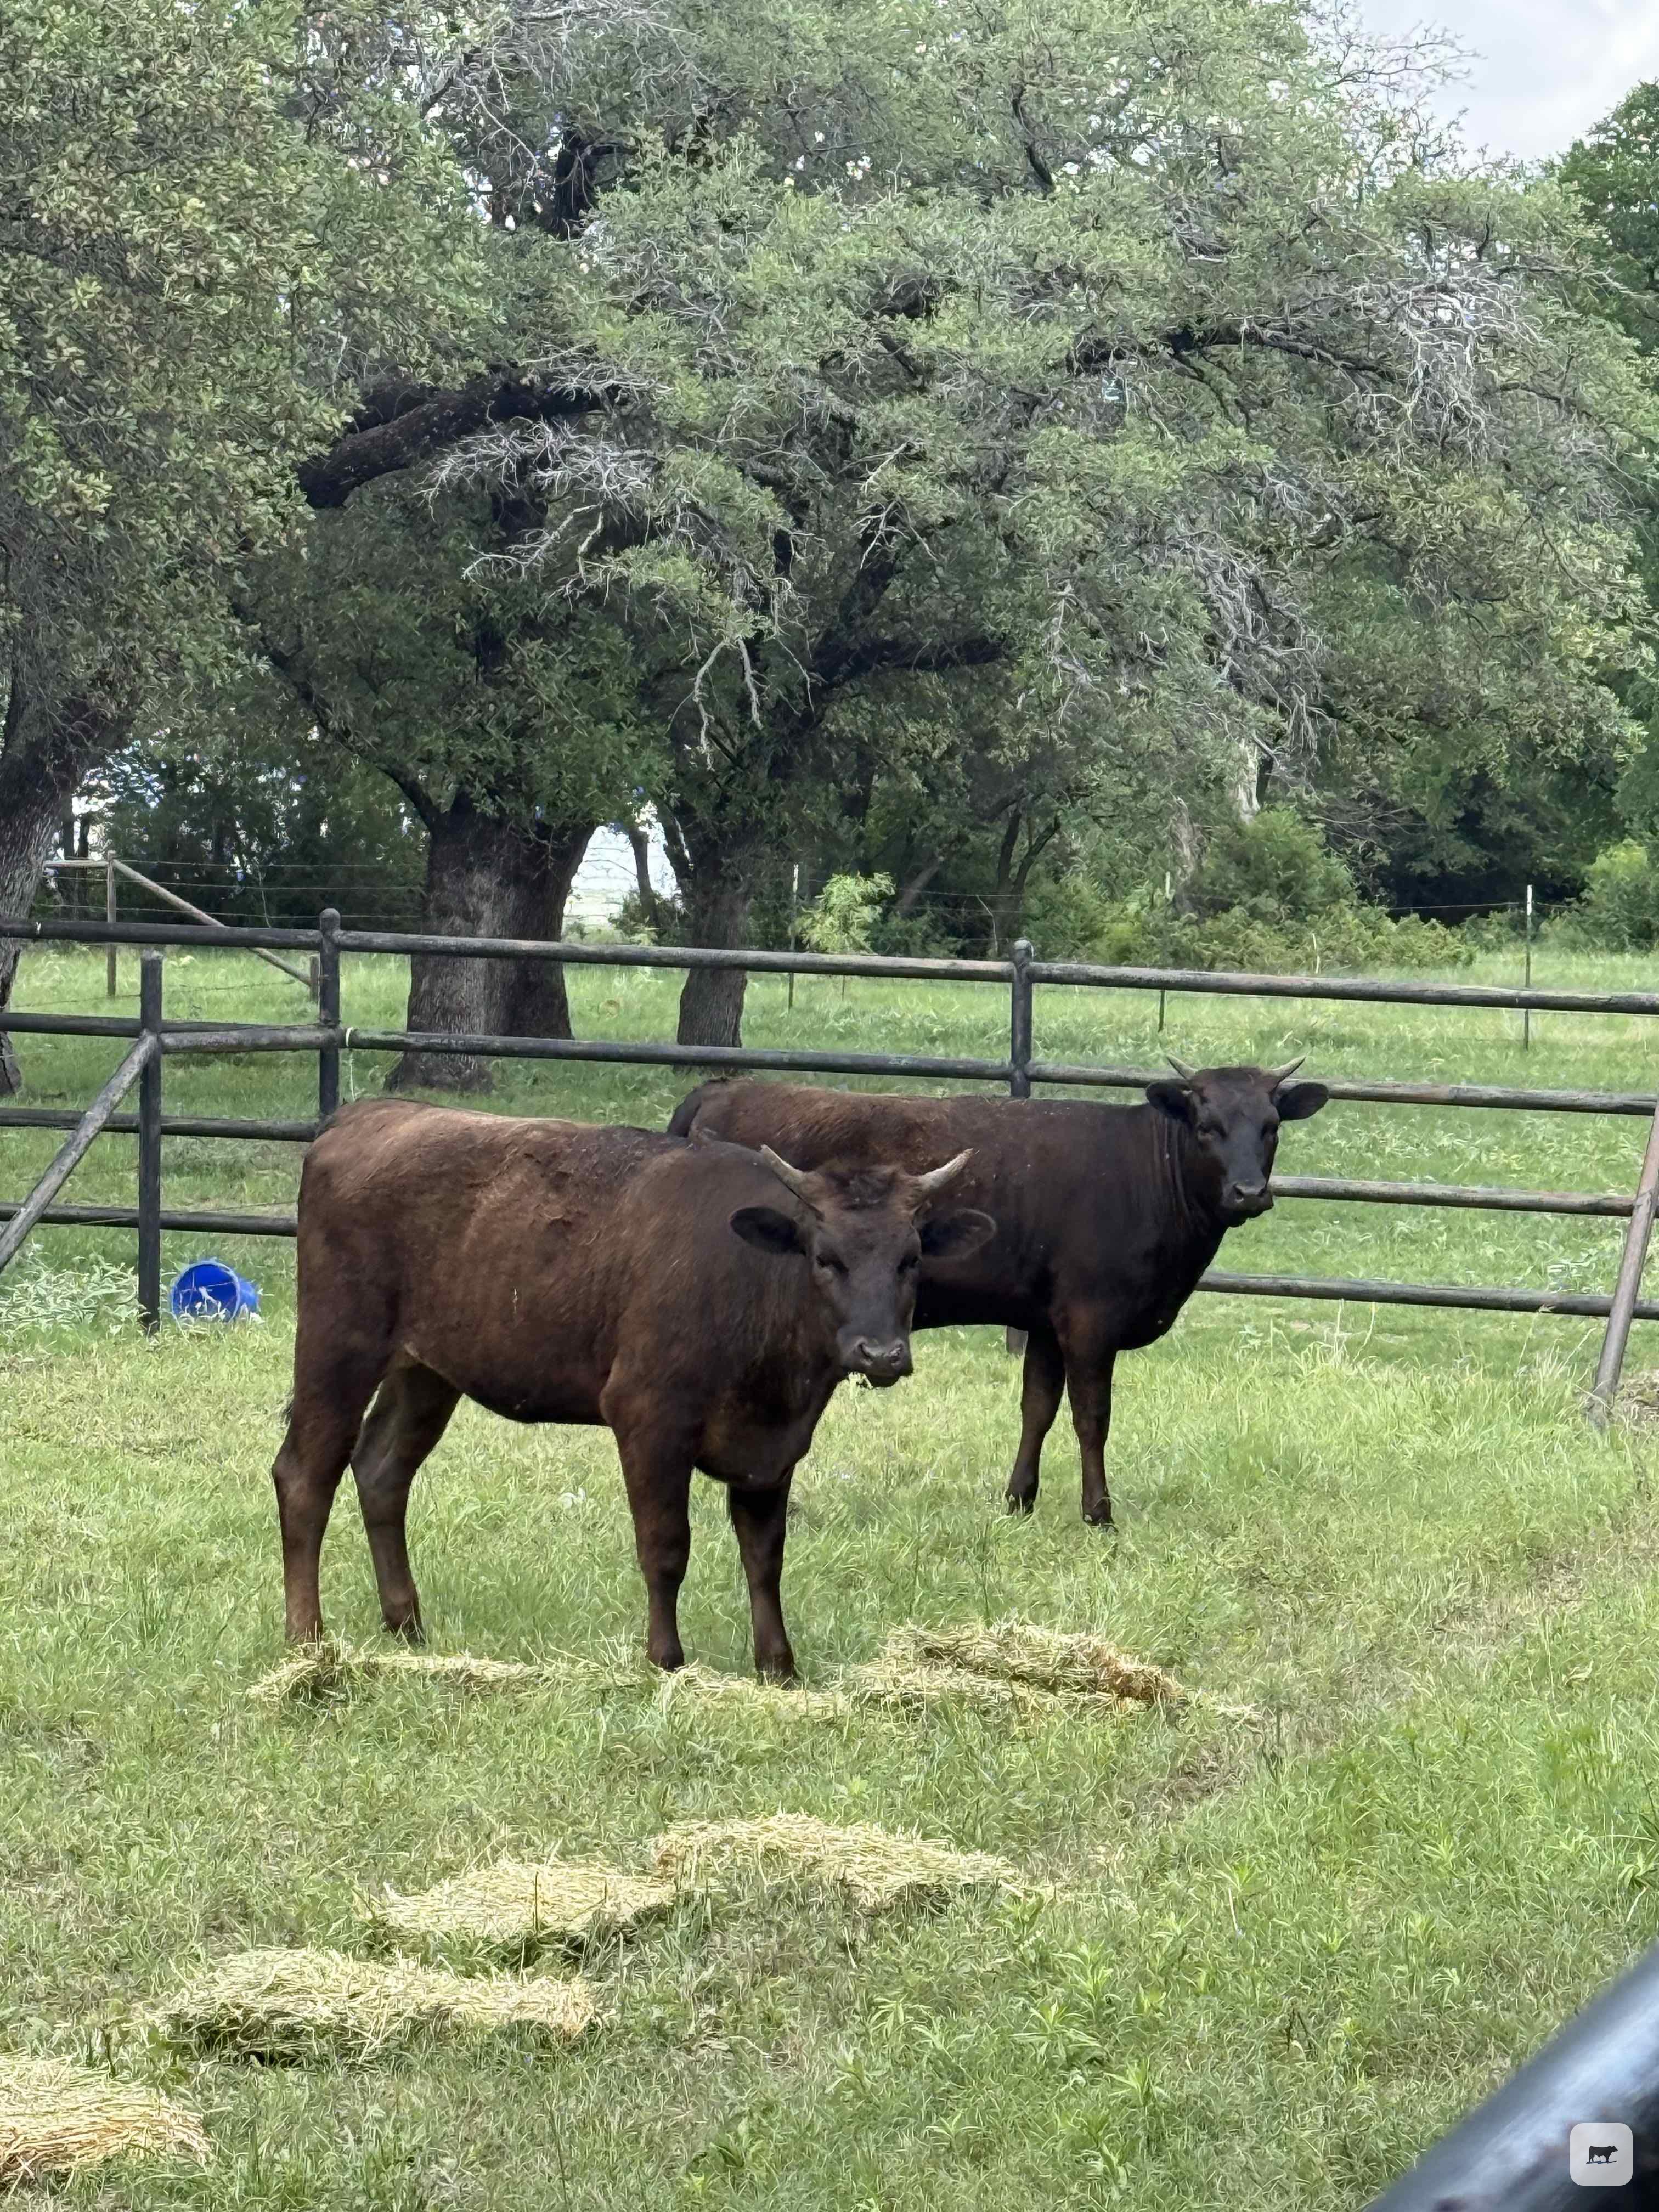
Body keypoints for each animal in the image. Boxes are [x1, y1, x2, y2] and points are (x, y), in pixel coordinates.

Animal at [270, 1099, 995, 1677]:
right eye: (826, 1257)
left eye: (911, 1259)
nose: (881, 1352)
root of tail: (367, 1114)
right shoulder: (650, 1418)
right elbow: (666, 1547)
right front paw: (665, 1659)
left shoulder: (774, 1447)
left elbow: (765, 1556)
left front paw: (779, 1666)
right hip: (339, 1345)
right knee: (305, 1474)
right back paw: (308, 1639)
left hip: (427, 1371)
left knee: (383, 1469)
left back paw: (407, 1625)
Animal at [669, 1058, 1329, 1528]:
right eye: (1207, 1128)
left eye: (1271, 1128)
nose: (1249, 1192)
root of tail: (722, 1089)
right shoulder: (1092, 1318)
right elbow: (1092, 1415)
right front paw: (1099, 1513)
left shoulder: (1045, 1319)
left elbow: (1037, 1407)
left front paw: (1019, 1500)